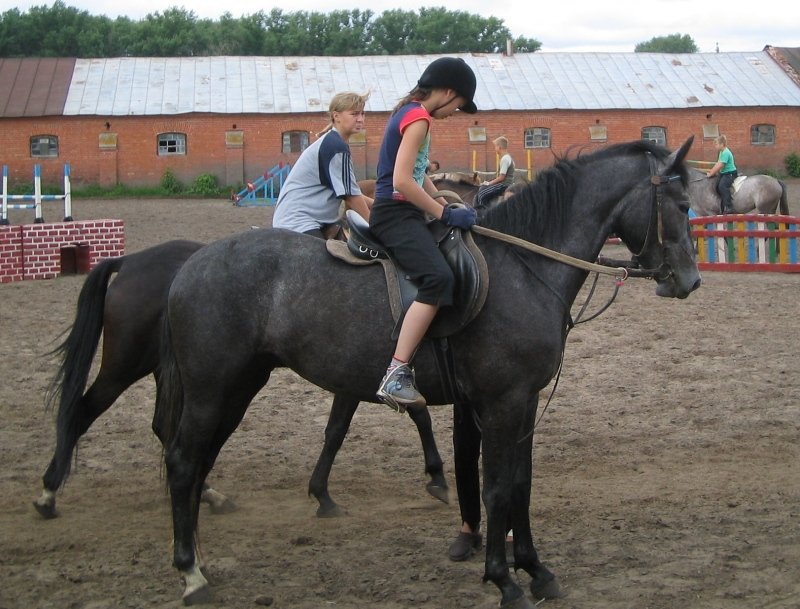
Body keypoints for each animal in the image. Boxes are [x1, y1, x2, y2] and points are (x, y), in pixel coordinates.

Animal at [156, 138, 700, 608]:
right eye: (680, 202)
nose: (689, 281)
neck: (523, 266)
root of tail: (190, 265)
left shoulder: (522, 402)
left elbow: (521, 483)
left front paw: (536, 570)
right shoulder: (501, 403)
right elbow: (497, 487)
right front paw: (504, 580)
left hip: (238, 387)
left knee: (199, 463)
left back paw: (200, 554)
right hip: (212, 390)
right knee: (183, 463)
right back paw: (190, 572)